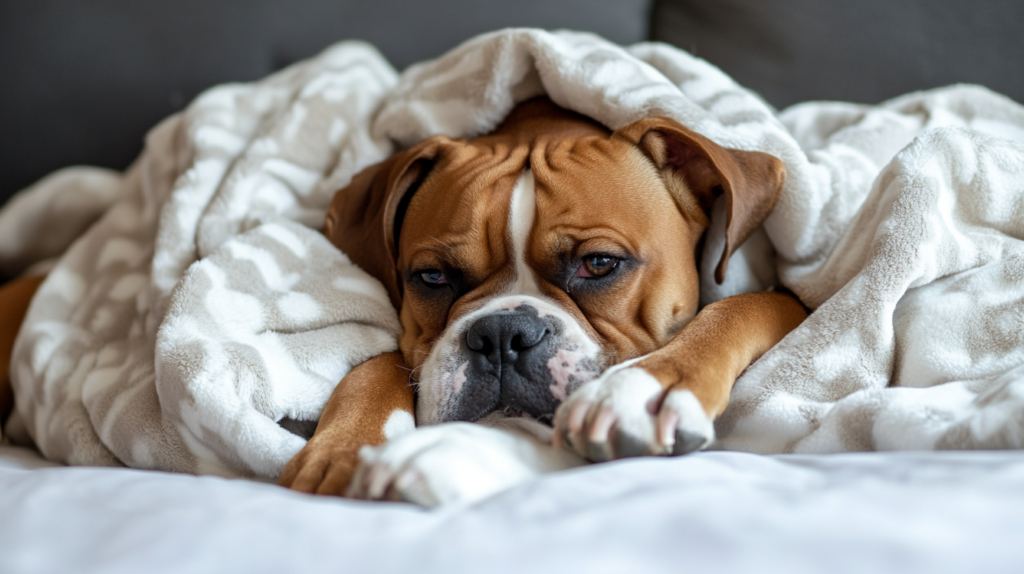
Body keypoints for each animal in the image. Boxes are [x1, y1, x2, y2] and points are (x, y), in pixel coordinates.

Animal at [274, 96, 806, 503]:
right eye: (432, 277)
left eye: (599, 263)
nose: (501, 334)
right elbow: (378, 362)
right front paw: (346, 449)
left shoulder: (786, 301)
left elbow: (738, 307)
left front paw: (645, 386)